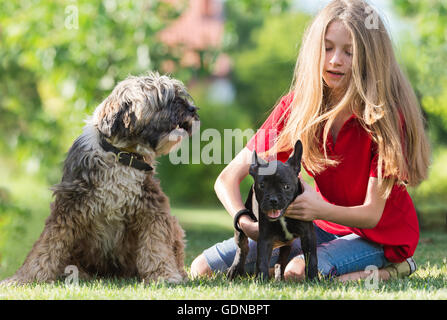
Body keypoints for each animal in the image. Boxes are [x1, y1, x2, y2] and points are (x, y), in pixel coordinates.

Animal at [0, 72, 200, 284]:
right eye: (165, 97)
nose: (192, 109)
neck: (121, 154)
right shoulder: (67, 207)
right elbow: (47, 245)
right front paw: (25, 277)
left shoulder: (153, 209)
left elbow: (157, 246)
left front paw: (164, 274)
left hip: (174, 225)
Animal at [228, 141, 318, 282]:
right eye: (262, 186)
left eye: (286, 186)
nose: (273, 200)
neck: (283, 216)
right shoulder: (265, 238)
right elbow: (262, 260)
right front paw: (261, 280)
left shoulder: (308, 235)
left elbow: (311, 259)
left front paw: (313, 279)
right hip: (241, 227)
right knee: (242, 247)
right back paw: (235, 269)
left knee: (281, 259)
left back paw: (279, 277)